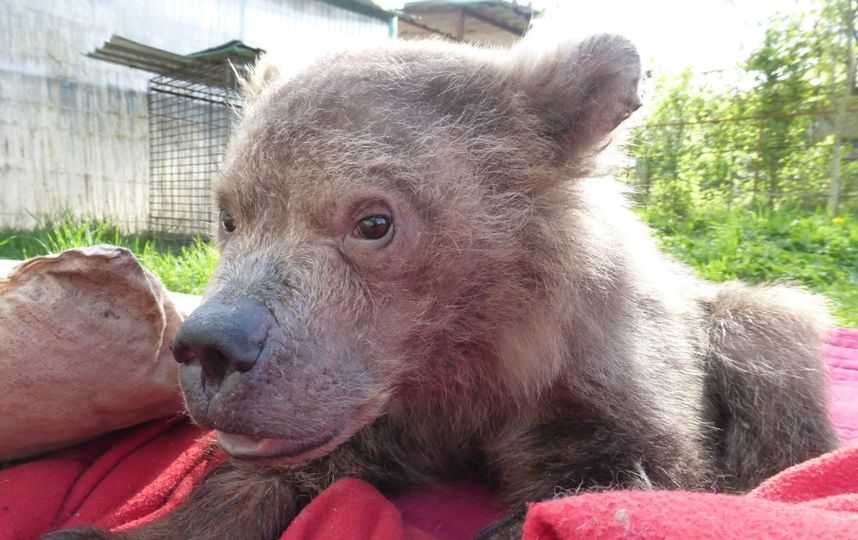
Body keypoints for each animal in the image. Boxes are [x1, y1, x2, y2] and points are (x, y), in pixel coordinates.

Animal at [47, 33, 838, 540]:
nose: (211, 347)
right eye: (230, 215)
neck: (465, 359)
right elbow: (272, 475)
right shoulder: (374, 401)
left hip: (738, 320)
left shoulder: (605, 387)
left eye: (373, 221)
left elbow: (616, 478)